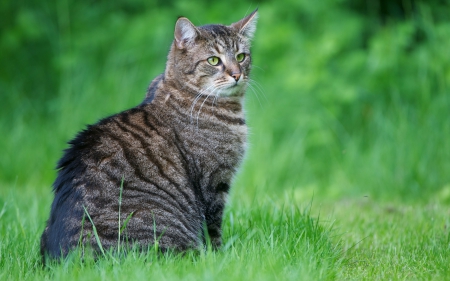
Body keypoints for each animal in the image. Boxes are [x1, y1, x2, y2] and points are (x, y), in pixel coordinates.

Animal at [41, 9, 260, 262]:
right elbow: (213, 230)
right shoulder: (213, 183)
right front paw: (219, 257)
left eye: (241, 56)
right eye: (213, 60)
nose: (237, 74)